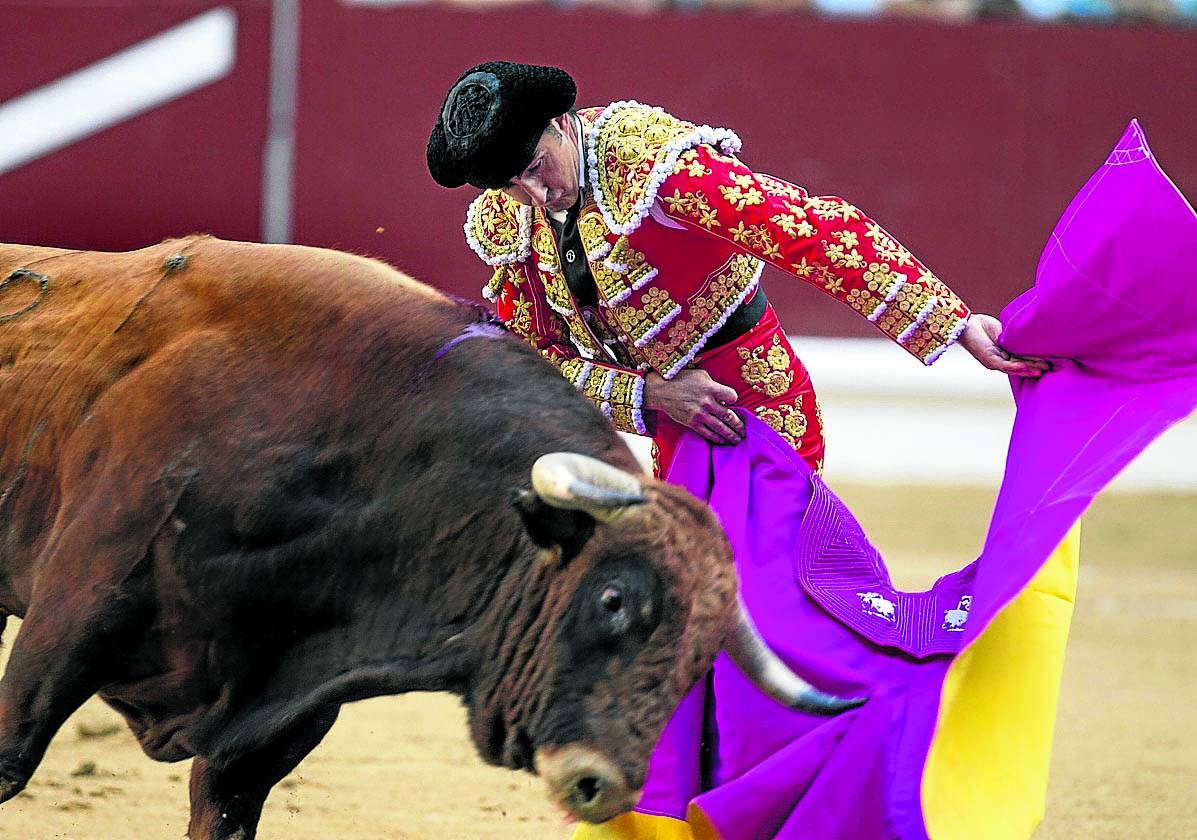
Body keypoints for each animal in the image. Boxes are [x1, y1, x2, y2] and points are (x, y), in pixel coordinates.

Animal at [0, 238, 861, 840]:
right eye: (612, 598)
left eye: (699, 659)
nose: (602, 785)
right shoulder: (72, 614)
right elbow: (11, 757)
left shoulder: (279, 713)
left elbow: (223, 813)